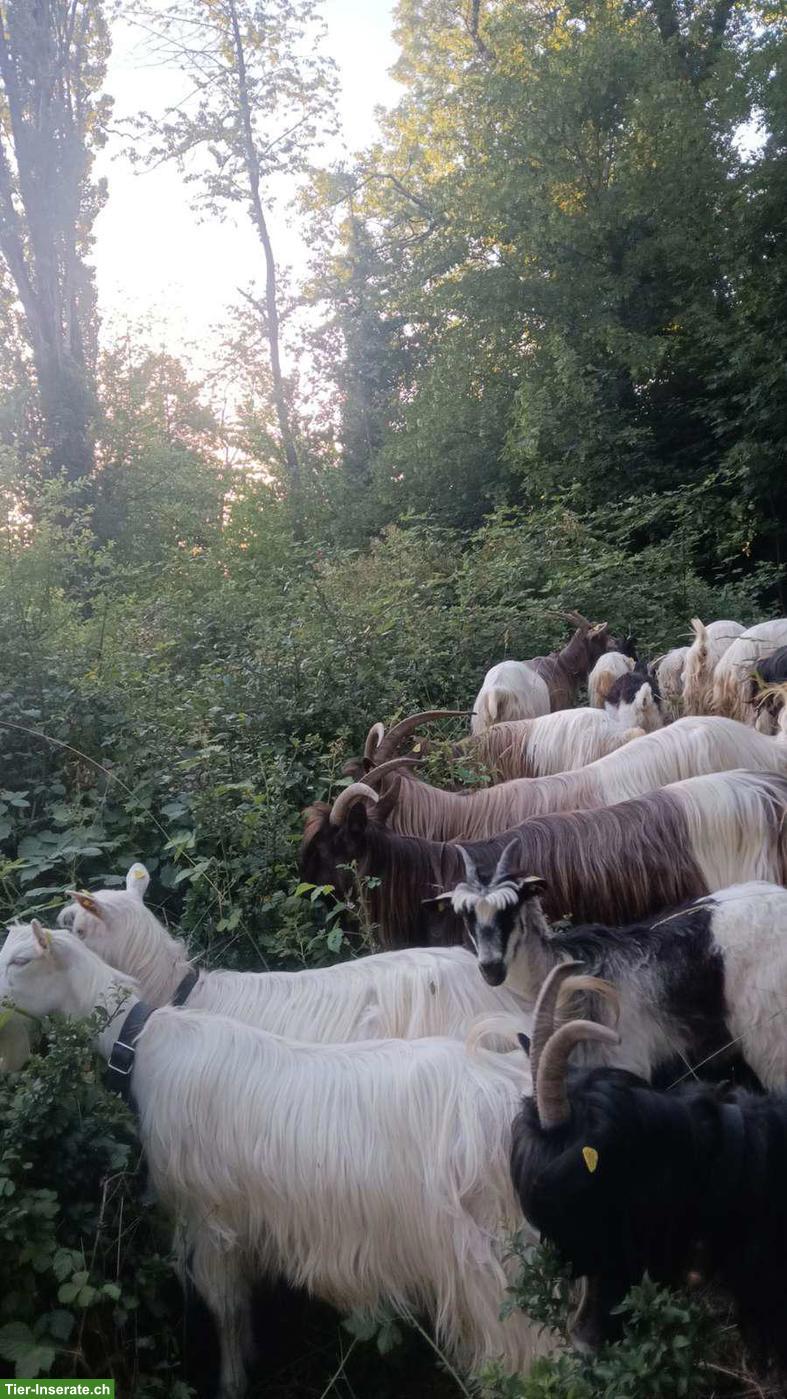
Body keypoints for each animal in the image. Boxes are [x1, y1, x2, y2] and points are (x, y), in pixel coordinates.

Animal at [0, 922, 548, 1395]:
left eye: (21, 960)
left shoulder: (209, 1216)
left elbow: (225, 1306)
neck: (141, 1041)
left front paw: (231, 1381)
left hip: (499, 1267)